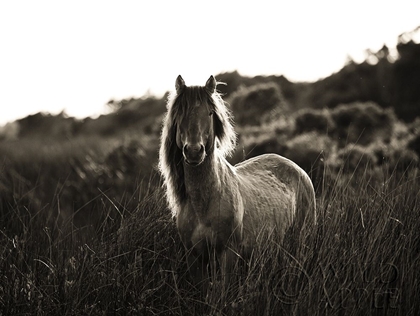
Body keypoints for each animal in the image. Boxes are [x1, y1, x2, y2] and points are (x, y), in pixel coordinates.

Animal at [159, 74, 316, 282]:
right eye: (180, 113)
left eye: (210, 113)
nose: (193, 151)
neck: (204, 203)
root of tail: (300, 170)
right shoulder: (195, 258)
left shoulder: (228, 254)